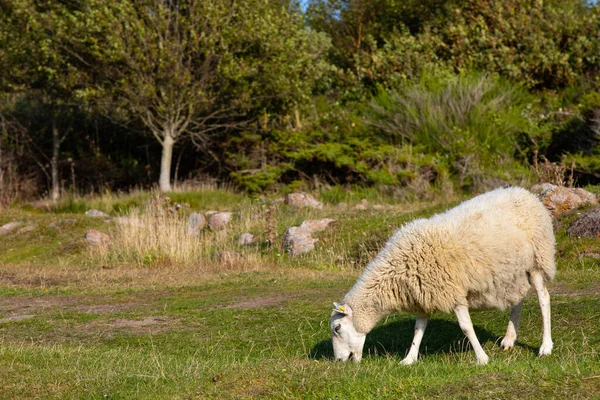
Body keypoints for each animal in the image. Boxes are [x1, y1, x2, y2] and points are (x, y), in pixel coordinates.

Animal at [330, 186, 556, 364]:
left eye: (337, 328)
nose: (339, 360)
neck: (398, 269)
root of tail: (526, 193)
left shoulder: (451, 291)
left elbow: (466, 327)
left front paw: (481, 358)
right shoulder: (423, 294)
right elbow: (418, 329)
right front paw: (409, 359)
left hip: (537, 259)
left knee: (544, 298)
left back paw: (545, 347)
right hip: (514, 271)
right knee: (518, 298)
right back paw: (509, 339)